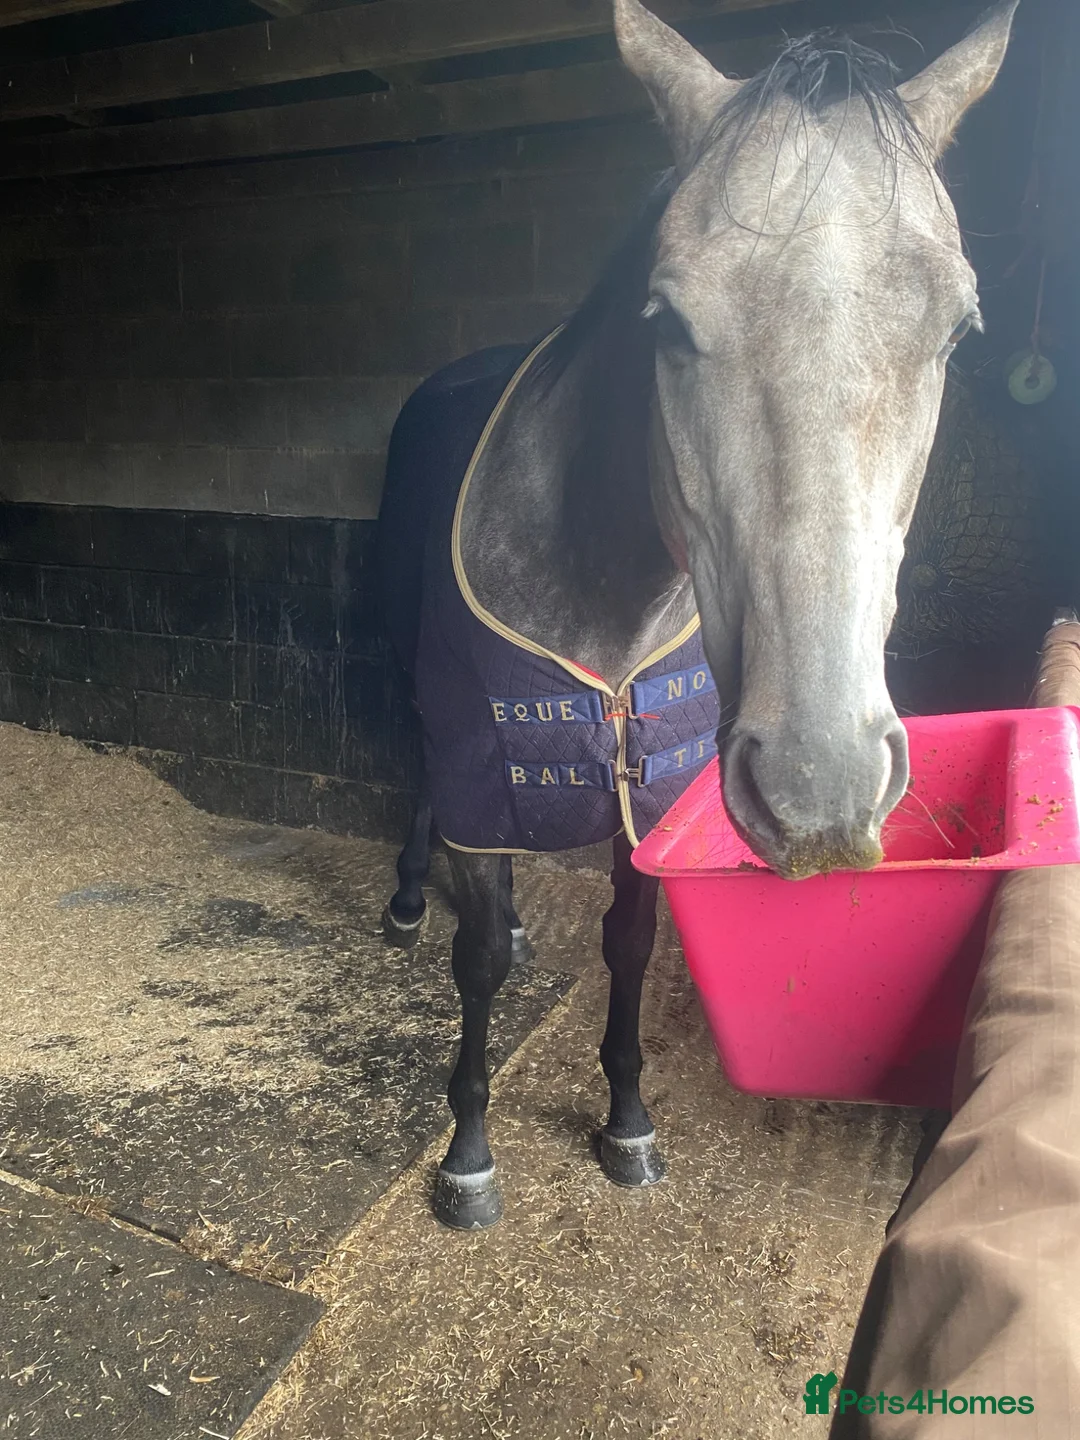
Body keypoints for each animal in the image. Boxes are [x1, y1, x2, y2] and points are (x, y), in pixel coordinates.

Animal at [376, 0, 1020, 1228]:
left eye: (960, 330)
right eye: (666, 318)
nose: (822, 790)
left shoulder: (652, 796)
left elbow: (631, 945)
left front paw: (628, 1122)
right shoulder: (487, 767)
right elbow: (475, 962)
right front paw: (468, 1151)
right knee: (417, 784)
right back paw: (402, 899)